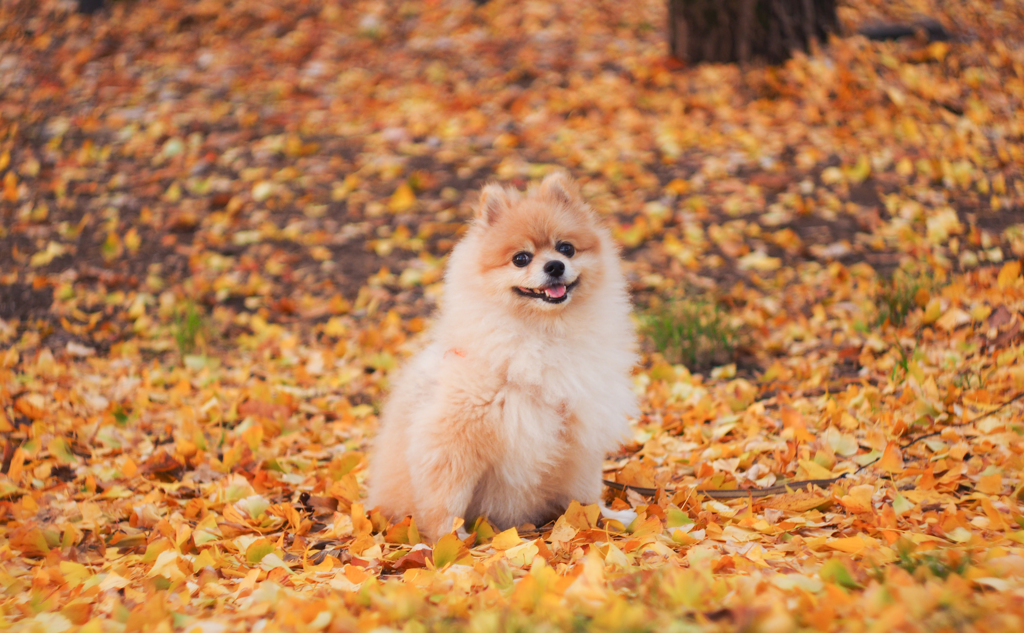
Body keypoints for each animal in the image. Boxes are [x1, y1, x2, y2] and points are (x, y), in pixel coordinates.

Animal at [368, 171, 634, 536]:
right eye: (521, 258)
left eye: (566, 248)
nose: (555, 265)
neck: (545, 334)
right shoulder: (451, 440)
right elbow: (444, 503)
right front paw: (451, 540)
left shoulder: (580, 435)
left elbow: (585, 494)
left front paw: (602, 519)